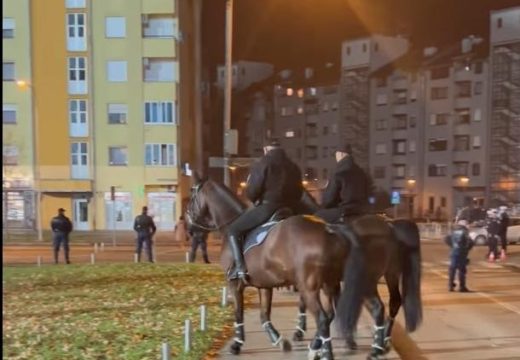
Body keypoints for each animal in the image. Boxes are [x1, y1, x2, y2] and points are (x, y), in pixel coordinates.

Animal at [187, 179, 422, 358]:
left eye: (191, 198)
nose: (189, 226)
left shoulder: (235, 284)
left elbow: (239, 313)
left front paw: (237, 344)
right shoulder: (267, 285)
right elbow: (264, 314)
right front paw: (279, 339)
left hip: (343, 282)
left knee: (330, 316)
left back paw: (335, 350)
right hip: (374, 277)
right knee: (384, 305)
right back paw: (377, 345)